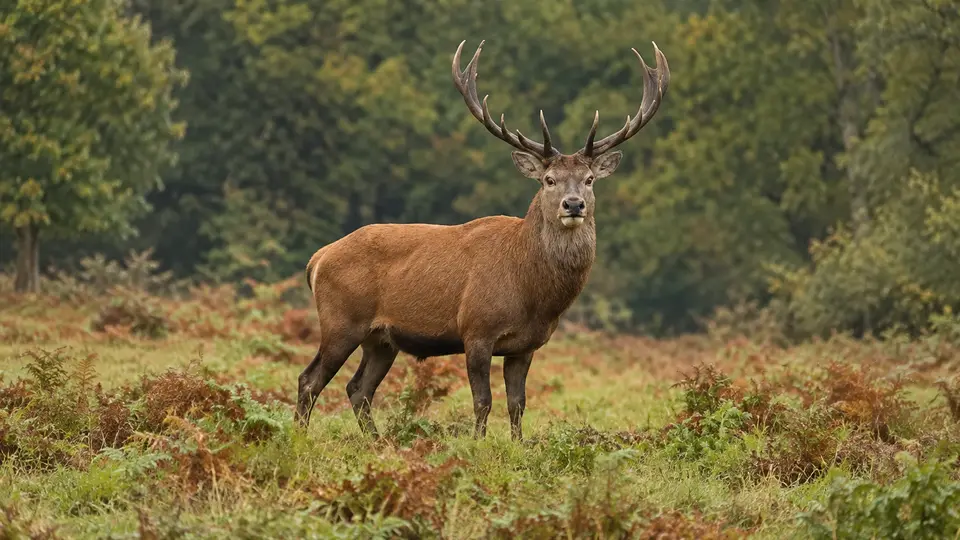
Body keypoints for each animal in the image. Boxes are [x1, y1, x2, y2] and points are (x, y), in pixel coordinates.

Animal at [295, 39, 670, 440]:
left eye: (589, 179)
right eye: (548, 180)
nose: (573, 204)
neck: (533, 294)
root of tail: (317, 259)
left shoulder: (526, 345)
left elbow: (518, 403)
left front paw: (518, 445)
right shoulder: (476, 329)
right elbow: (483, 401)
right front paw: (477, 444)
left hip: (381, 339)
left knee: (358, 388)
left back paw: (378, 442)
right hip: (341, 321)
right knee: (310, 380)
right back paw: (299, 437)